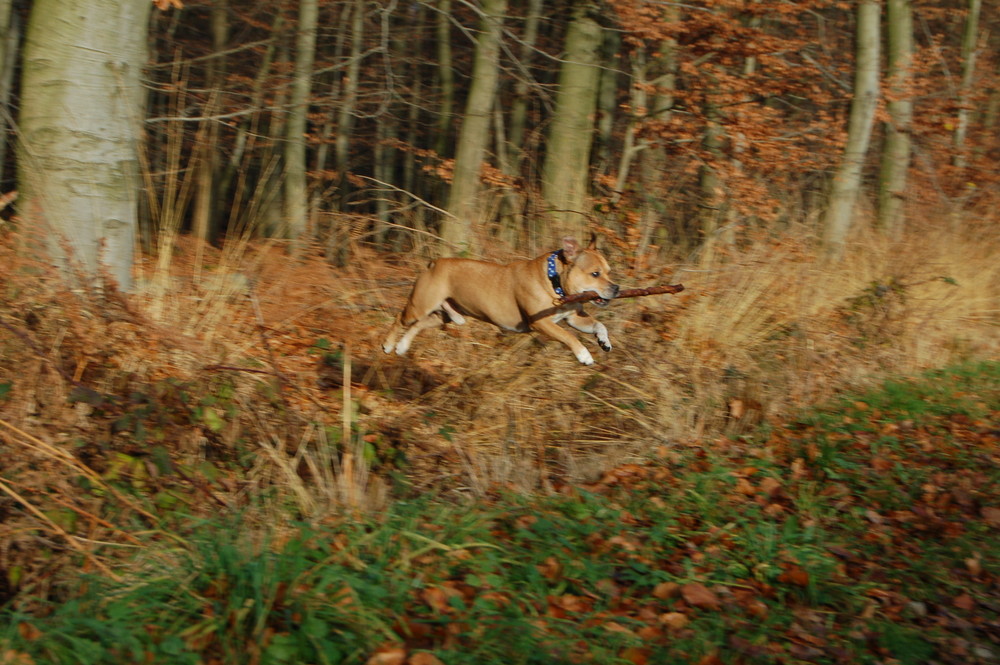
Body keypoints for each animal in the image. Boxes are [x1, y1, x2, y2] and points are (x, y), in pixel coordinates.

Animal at [382, 236, 616, 366]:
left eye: (609, 272)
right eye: (595, 274)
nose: (616, 288)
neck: (554, 281)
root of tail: (434, 263)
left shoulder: (574, 317)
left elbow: (598, 325)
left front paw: (604, 341)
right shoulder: (541, 323)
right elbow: (569, 336)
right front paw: (583, 354)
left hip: (445, 316)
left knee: (419, 325)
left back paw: (402, 347)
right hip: (419, 306)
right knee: (400, 318)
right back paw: (388, 344)